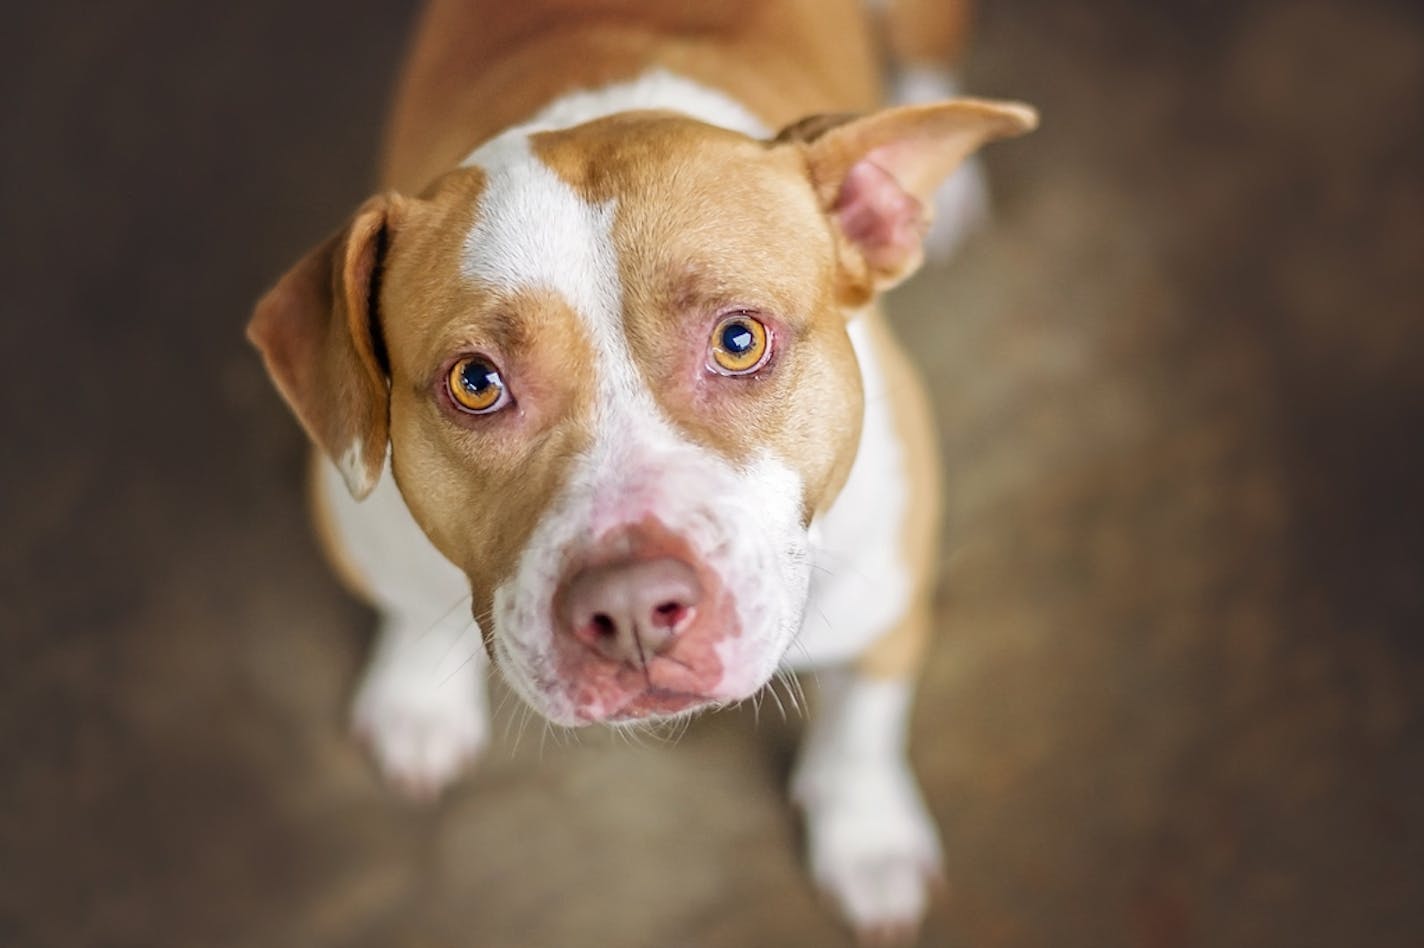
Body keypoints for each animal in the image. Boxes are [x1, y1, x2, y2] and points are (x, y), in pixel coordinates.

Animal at [247, 0, 1036, 939]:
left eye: (740, 339)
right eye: (476, 383)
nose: (629, 609)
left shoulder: (889, 594)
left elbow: (863, 721)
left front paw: (867, 837)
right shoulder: (363, 526)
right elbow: (408, 608)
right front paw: (419, 701)